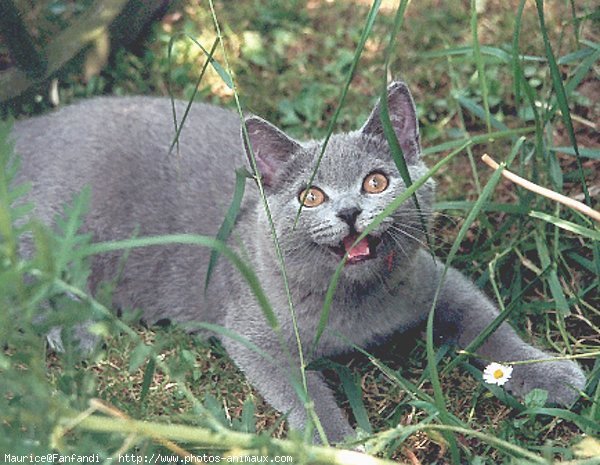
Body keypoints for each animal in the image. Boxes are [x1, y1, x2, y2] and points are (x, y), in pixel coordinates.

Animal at [11, 82, 584, 442]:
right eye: (311, 196)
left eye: (376, 180)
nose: (350, 211)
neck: (354, 300)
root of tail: (25, 128)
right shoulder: (254, 334)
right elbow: (303, 394)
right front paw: (341, 444)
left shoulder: (433, 279)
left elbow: (487, 324)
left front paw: (551, 376)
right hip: (56, 224)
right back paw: (76, 332)